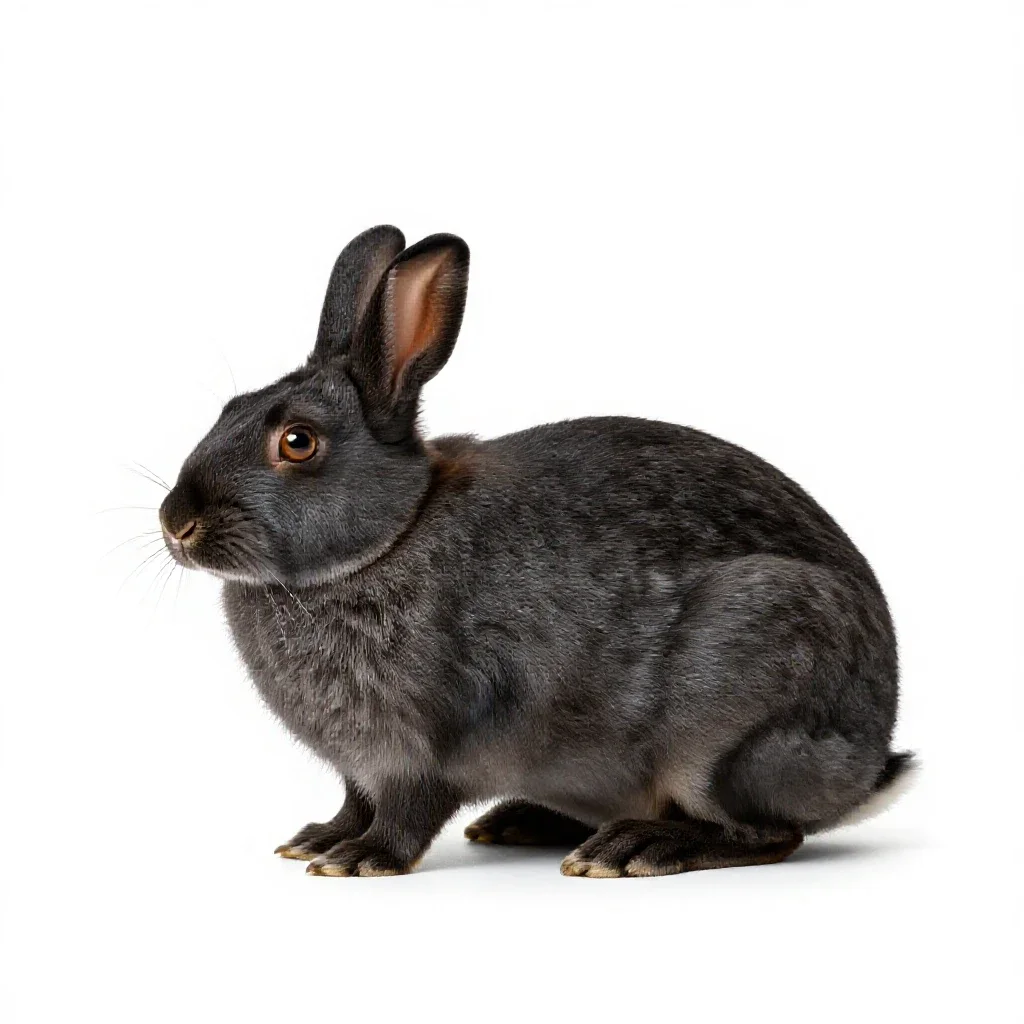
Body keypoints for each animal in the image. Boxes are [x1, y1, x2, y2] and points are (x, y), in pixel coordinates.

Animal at [158, 224, 915, 878]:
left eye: (297, 442)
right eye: (229, 409)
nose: (176, 523)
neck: (391, 536)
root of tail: (867, 765)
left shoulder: (428, 742)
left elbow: (405, 810)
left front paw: (360, 858)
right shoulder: (360, 767)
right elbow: (355, 799)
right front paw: (318, 839)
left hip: (737, 713)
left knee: (765, 832)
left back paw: (632, 848)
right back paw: (524, 821)